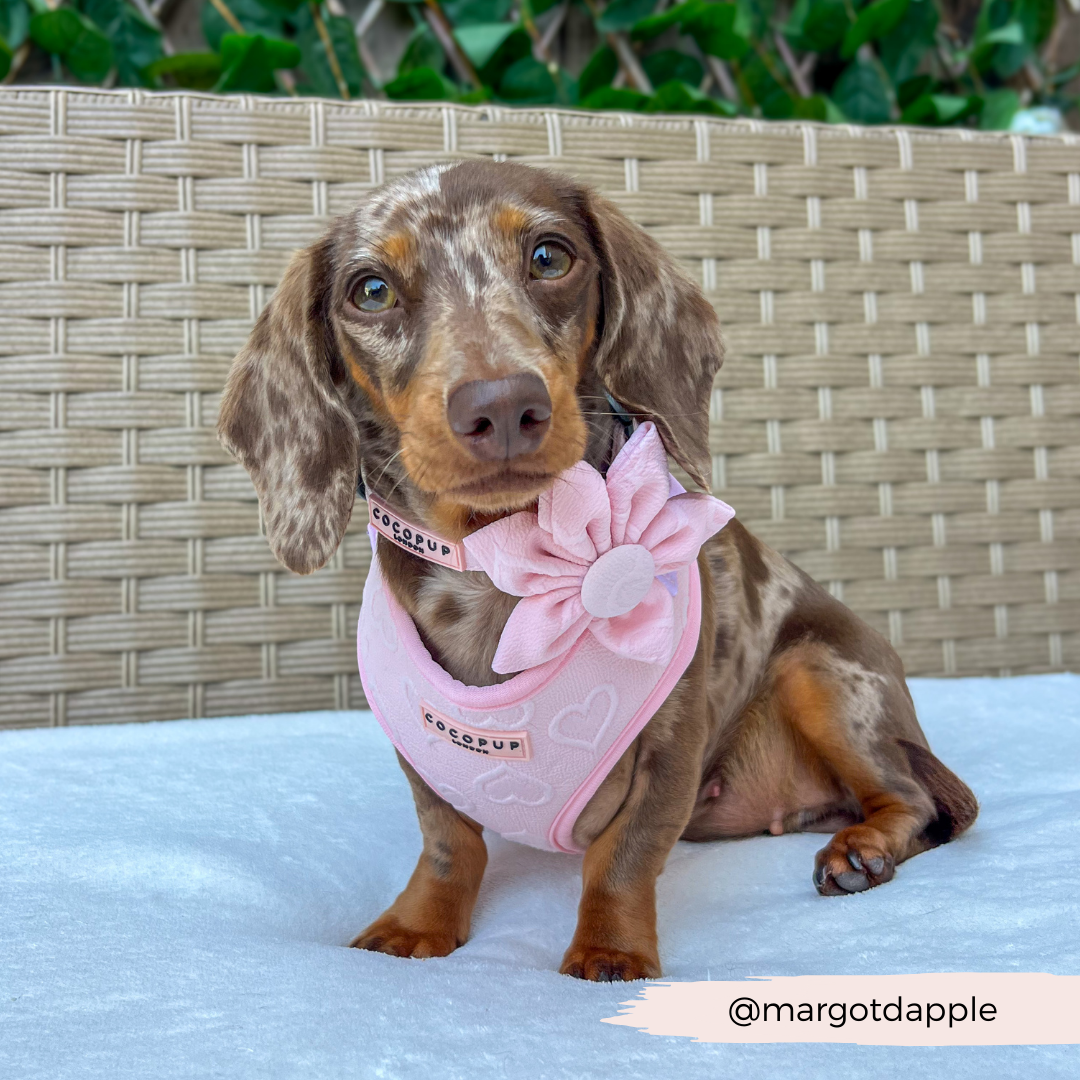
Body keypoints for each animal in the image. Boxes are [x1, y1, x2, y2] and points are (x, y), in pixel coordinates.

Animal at [217, 157, 980, 980]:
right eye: (371, 289)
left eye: (551, 256)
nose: (504, 406)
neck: (502, 560)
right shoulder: (424, 754)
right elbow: (449, 843)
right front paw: (417, 924)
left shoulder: (670, 744)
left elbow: (623, 855)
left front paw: (609, 950)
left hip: (824, 672)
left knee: (914, 801)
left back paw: (860, 850)